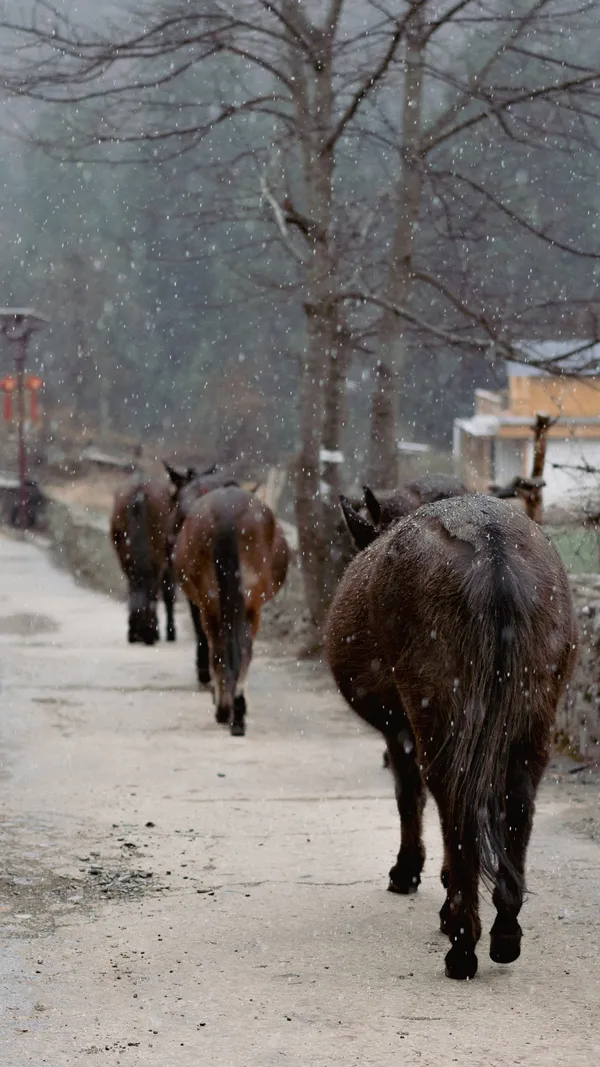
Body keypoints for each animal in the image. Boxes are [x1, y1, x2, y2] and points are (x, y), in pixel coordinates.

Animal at [110, 480, 176, 644]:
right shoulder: (168, 563)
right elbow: (169, 593)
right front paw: (170, 632)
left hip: (126, 556)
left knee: (135, 584)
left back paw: (134, 631)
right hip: (157, 557)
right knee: (151, 588)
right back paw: (149, 631)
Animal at [171, 486, 288, 729]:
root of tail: (227, 511)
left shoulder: (201, 605)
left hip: (215, 603)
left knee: (222, 646)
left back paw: (226, 708)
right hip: (247, 602)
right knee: (241, 647)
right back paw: (235, 706)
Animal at [324, 495, 576, 977]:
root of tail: (491, 542)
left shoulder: (399, 727)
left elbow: (409, 796)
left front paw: (408, 872)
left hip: (437, 709)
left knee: (453, 800)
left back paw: (462, 941)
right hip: (533, 714)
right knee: (516, 802)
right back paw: (505, 930)